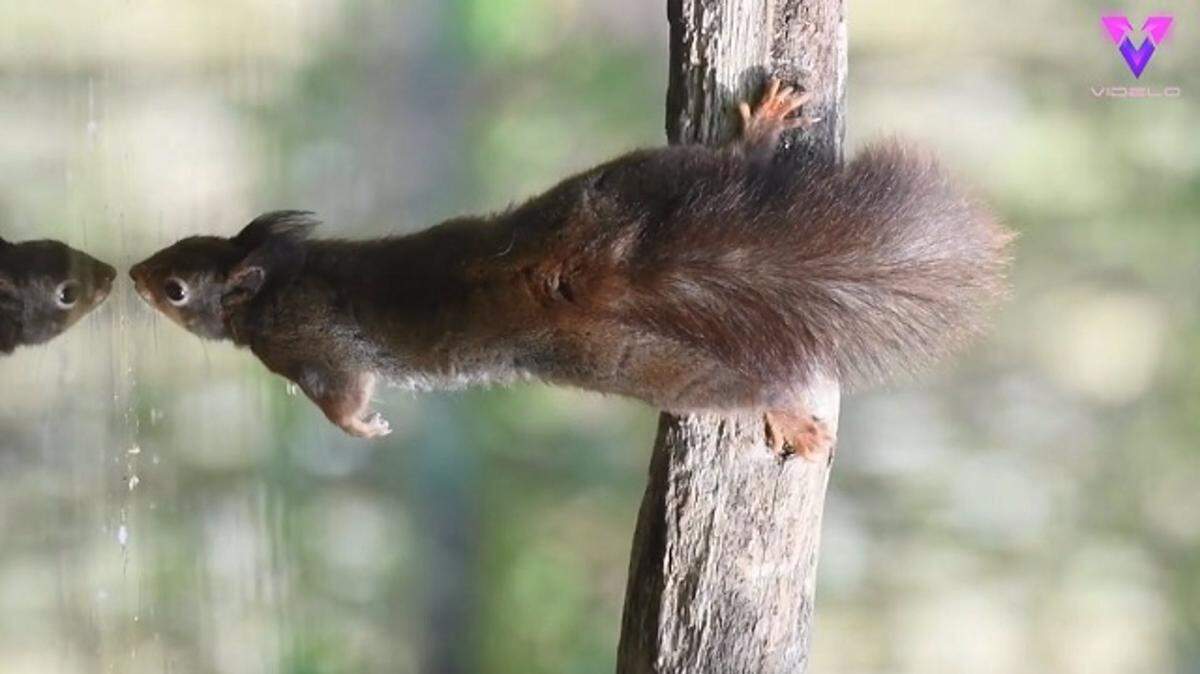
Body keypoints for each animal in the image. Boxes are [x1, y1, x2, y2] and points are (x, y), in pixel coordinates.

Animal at [130, 80, 1013, 458]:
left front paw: (365, 428)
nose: (135, 274)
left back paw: (786, 414)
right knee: (713, 166)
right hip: (633, 180)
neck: (269, 285)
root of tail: (586, 272)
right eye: (183, 245)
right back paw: (758, 137)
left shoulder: (304, 349)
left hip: (635, 366)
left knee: (733, 391)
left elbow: (339, 399)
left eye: (176, 288)